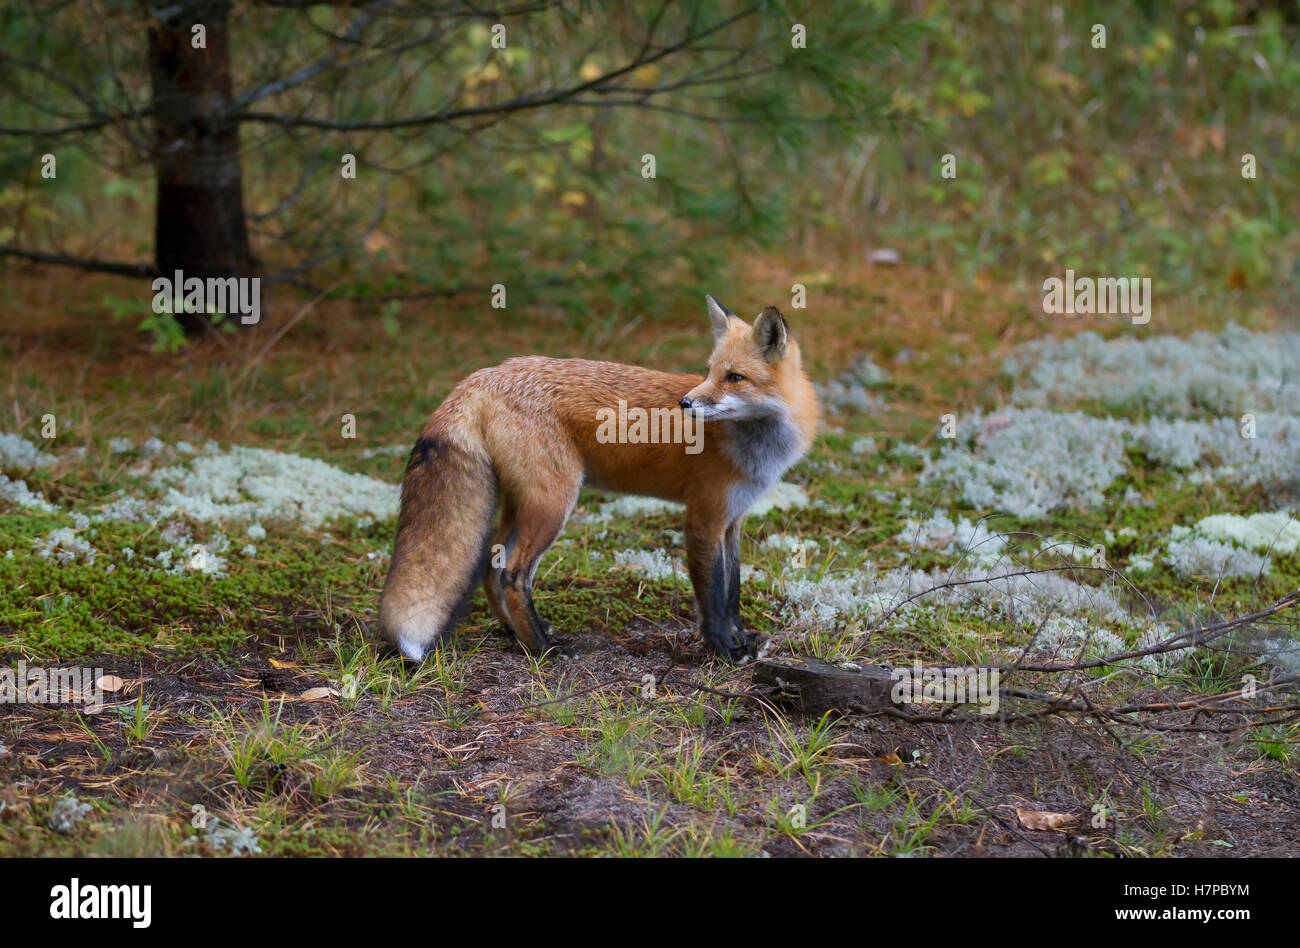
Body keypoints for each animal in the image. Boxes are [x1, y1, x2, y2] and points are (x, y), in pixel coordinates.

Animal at [378, 296, 820, 663]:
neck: (757, 447)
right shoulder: (703, 520)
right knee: (513, 575)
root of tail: (484, 375)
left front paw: (741, 637)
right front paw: (725, 650)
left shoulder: (733, 521)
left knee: (491, 564)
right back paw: (543, 648)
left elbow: (733, 590)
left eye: (734, 377)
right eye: (710, 372)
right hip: (554, 503)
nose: (686, 403)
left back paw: (515, 634)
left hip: (522, 504)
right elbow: (712, 597)